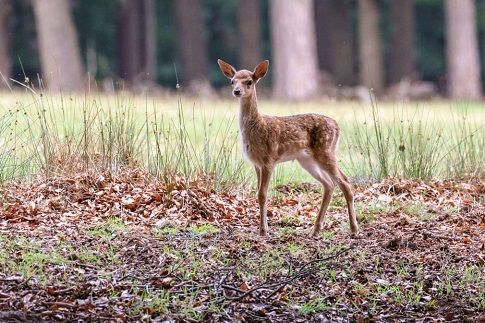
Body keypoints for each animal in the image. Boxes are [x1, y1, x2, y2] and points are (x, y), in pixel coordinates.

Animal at [217, 59, 358, 238]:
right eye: (232, 81)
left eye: (249, 81)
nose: (236, 91)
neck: (257, 126)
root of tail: (337, 126)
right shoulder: (256, 163)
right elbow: (258, 193)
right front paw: (263, 228)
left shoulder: (268, 159)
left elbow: (262, 194)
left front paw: (263, 231)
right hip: (307, 159)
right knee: (329, 184)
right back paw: (315, 230)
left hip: (325, 150)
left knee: (345, 182)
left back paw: (354, 229)